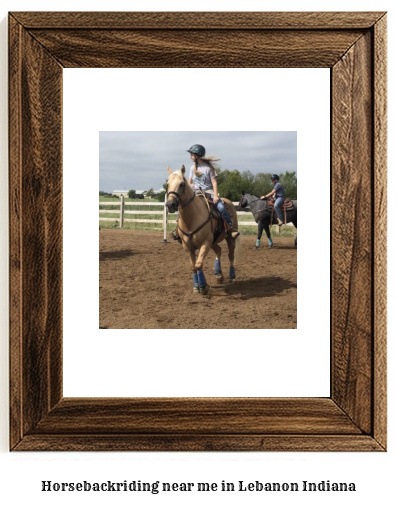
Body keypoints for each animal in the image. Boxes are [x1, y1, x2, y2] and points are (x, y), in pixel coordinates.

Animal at [166, 165, 240, 296]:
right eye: (167, 184)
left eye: (181, 184)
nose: (170, 204)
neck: (192, 218)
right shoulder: (188, 246)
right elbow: (193, 266)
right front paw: (197, 286)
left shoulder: (205, 243)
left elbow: (199, 264)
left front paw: (203, 287)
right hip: (213, 240)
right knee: (218, 250)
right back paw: (218, 275)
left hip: (228, 237)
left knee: (230, 254)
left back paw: (232, 276)